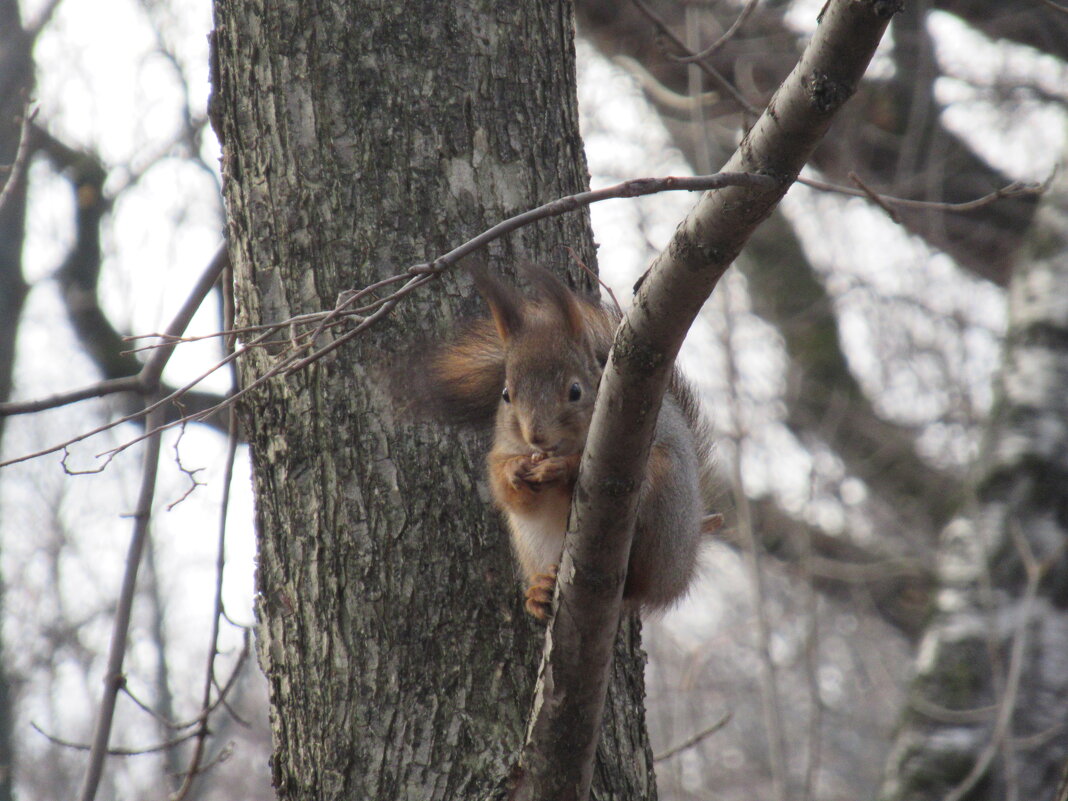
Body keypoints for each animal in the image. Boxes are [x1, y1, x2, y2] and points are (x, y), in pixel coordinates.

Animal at [407, 268, 717, 619]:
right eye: (506, 394)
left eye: (575, 391)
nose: (536, 435)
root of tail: (682, 568)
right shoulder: (502, 449)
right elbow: (505, 488)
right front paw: (516, 469)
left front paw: (560, 468)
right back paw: (540, 592)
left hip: (664, 512)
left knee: (639, 585)